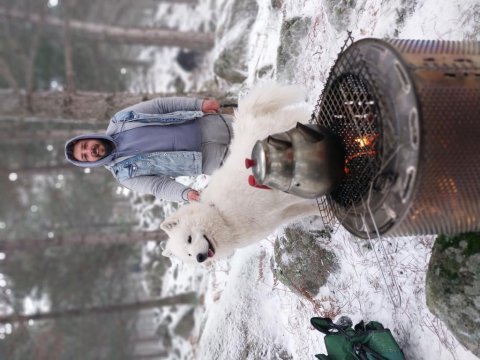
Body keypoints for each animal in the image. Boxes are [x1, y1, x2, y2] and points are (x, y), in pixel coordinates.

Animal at [160, 83, 318, 264]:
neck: (221, 215)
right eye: (189, 255)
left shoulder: (277, 195)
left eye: (189, 239)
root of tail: (246, 116)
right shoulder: (279, 215)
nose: (200, 258)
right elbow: (308, 208)